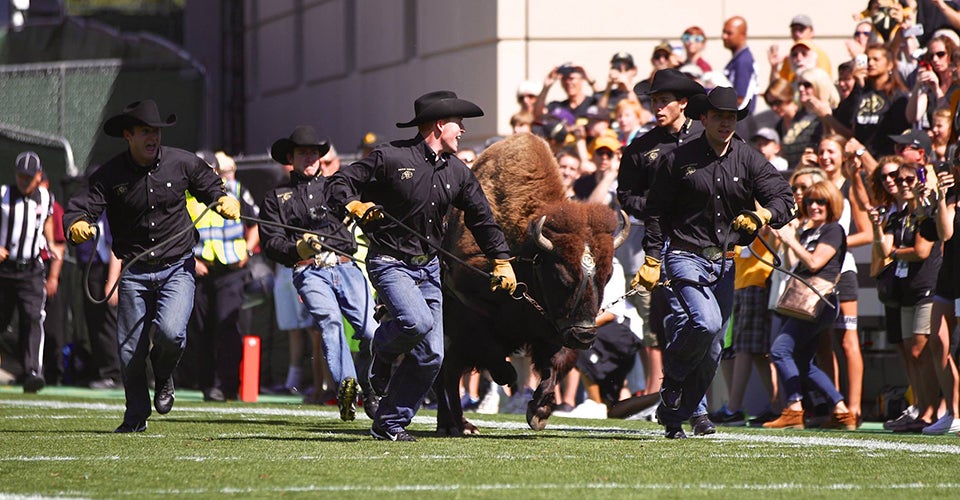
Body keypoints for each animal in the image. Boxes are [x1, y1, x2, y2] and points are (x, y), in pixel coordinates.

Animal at [436, 132, 624, 434]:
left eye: (607, 276)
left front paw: (539, 411)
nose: (584, 336)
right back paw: (459, 425)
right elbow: (490, 353)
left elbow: (555, 365)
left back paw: (453, 423)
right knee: (446, 374)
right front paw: (509, 377)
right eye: (562, 276)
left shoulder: (553, 329)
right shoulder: (471, 317)